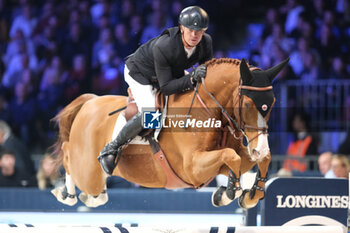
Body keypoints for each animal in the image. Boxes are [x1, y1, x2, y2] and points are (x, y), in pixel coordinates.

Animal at [50, 58, 288, 209]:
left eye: (272, 103)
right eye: (247, 104)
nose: (259, 147)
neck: (209, 108)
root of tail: (89, 102)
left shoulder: (230, 157)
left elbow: (254, 159)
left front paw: (246, 194)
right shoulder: (192, 168)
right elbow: (231, 156)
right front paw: (230, 192)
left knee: (92, 188)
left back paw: (90, 197)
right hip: (86, 170)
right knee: (68, 154)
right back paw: (67, 194)